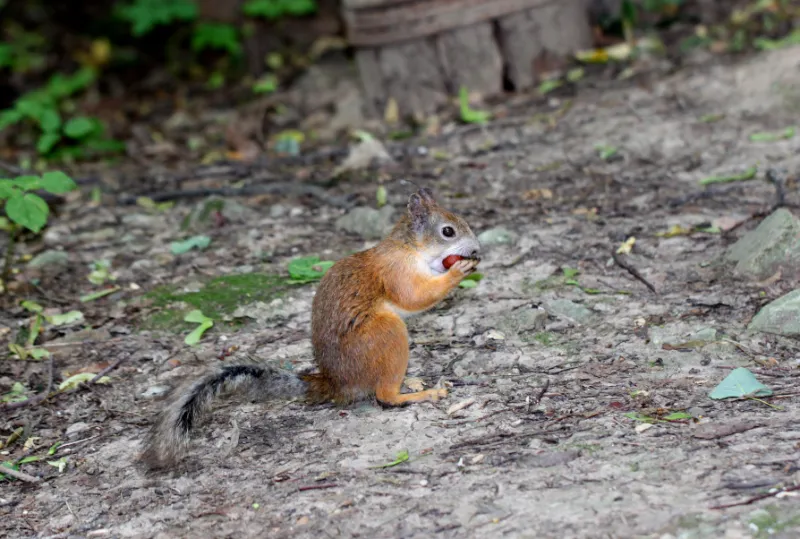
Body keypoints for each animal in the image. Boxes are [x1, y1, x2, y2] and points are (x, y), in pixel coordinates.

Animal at [140, 189, 478, 468]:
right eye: (448, 231)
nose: (475, 250)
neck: (411, 248)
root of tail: (337, 384)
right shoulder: (396, 272)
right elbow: (414, 296)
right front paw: (459, 271)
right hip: (386, 332)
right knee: (384, 395)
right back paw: (419, 394)